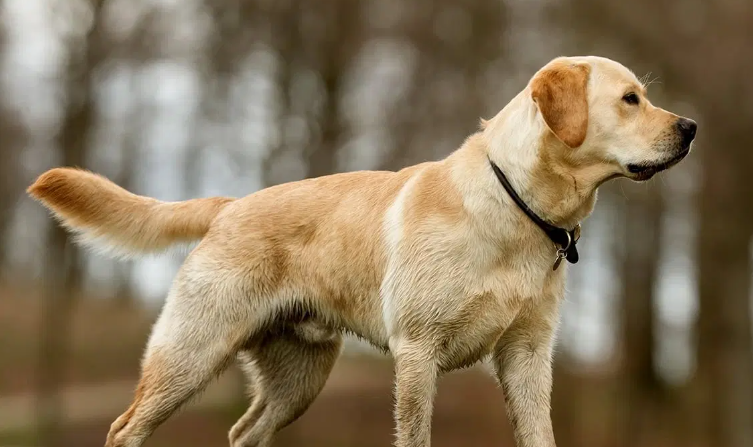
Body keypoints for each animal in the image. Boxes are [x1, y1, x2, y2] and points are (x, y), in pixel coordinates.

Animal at [26, 57, 696, 447]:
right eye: (631, 99)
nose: (691, 127)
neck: (519, 212)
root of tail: (229, 204)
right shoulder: (418, 352)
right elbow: (416, 436)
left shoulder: (527, 358)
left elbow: (540, 436)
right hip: (190, 353)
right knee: (126, 429)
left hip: (297, 380)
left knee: (243, 431)